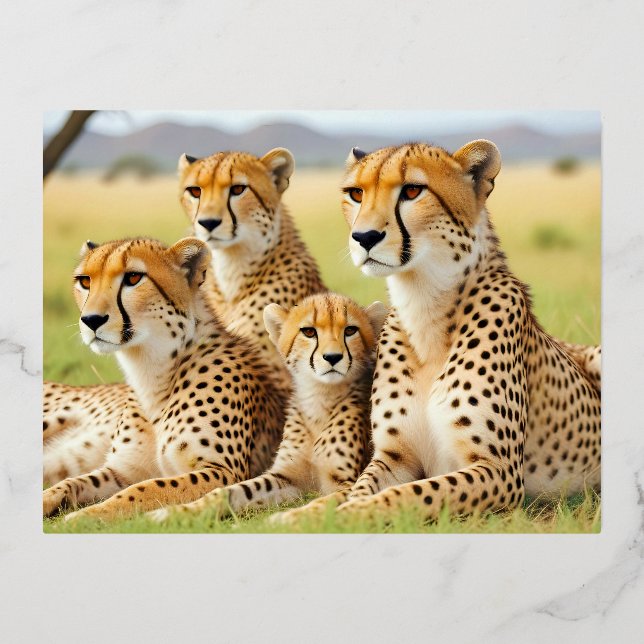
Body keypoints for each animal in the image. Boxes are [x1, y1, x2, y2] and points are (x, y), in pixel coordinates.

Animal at [42, 236, 284, 521]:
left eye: (133, 278)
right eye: (85, 281)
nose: (91, 320)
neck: (152, 371)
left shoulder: (222, 471)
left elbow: (144, 489)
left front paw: (84, 516)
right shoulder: (122, 469)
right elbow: (72, 481)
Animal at [147, 292, 386, 523]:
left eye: (350, 330)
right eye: (309, 332)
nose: (333, 357)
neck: (319, 399)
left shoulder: (345, 482)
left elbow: (322, 504)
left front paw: (287, 518)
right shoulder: (285, 477)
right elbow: (228, 491)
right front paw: (175, 512)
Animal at [329, 140, 600, 523]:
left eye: (412, 191)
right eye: (356, 193)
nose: (364, 236)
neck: (424, 305)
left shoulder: (499, 470)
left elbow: (404, 495)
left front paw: (341, 517)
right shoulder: (394, 457)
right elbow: (359, 489)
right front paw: (302, 515)